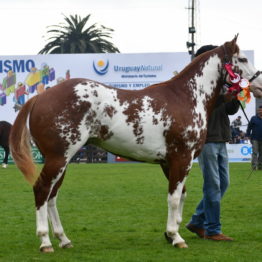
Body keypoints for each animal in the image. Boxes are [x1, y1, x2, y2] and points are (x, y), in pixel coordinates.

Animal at [9, 36, 262, 252]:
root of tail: (40, 97)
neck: (187, 97)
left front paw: (171, 234)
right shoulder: (182, 158)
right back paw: (45, 242)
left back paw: (63, 239)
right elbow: (173, 198)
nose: (259, 84)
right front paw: (176, 237)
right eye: (242, 59)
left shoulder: (169, 162)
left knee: (52, 195)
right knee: (42, 190)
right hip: (58, 158)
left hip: (62, 160)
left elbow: (181, 196)